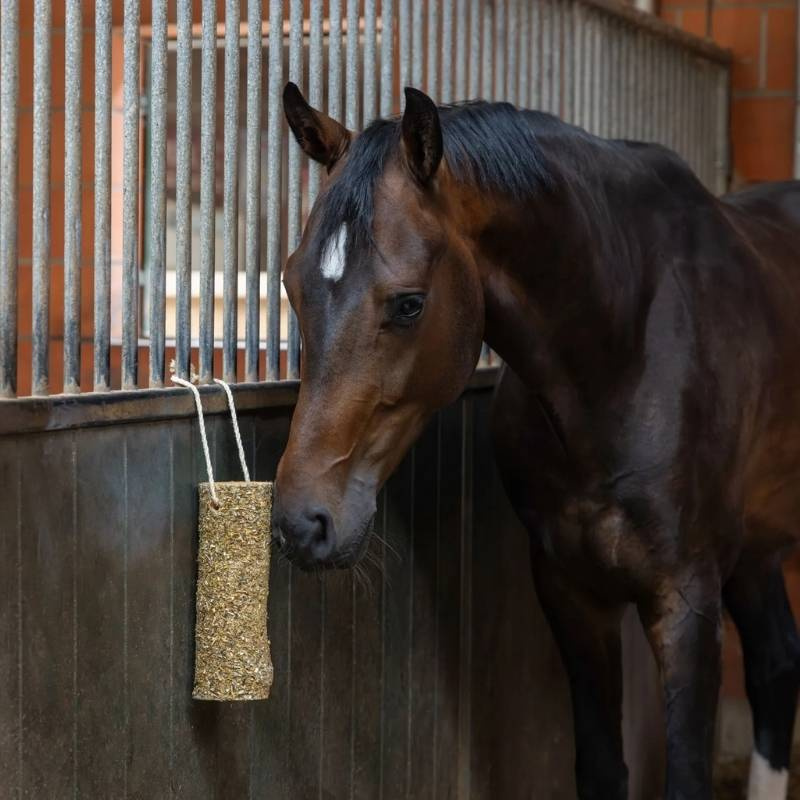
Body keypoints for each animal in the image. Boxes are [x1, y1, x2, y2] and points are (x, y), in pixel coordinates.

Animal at [274, 80, 800, 800]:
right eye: (292, 285)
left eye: (409, 303)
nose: (302, 523)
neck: (623, 350)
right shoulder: (570, 591)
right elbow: (601, 767)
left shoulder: (687, 601)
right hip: (756, 548)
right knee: (776, 663)